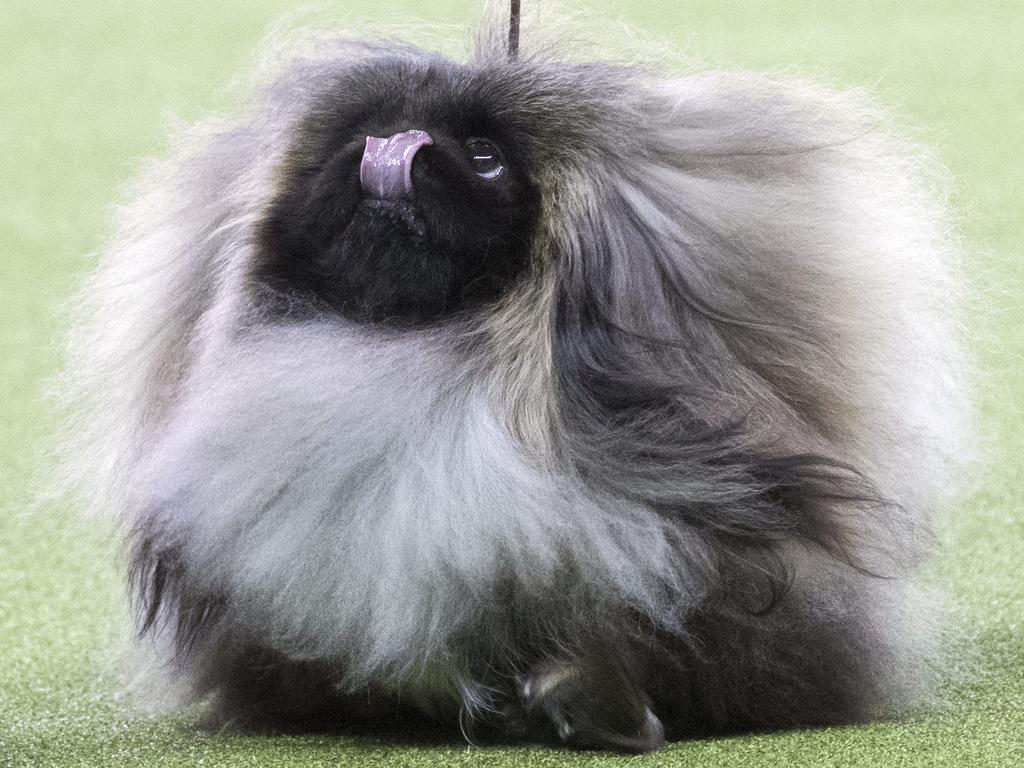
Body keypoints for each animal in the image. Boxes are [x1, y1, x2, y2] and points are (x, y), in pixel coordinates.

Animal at [59, 7, 970, 757]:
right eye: (352, 139)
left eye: (485, 159)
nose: (396, 148)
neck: (426, 364)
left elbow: (611, 637)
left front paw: (590, 705)